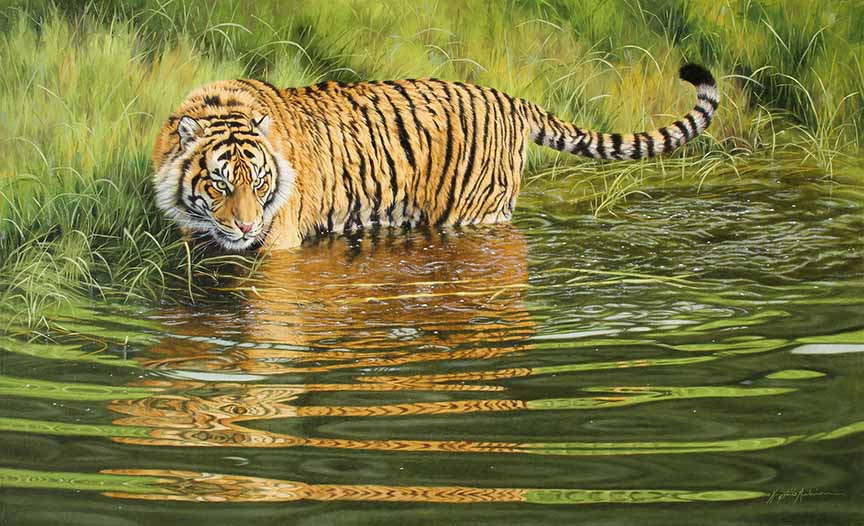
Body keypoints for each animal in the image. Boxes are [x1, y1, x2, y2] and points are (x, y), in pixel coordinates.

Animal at [152, 64, 718, 250]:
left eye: (260, 182)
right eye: (220, 183)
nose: (246, 227)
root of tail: (510, 98)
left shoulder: (281, 246)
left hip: (474, 215)